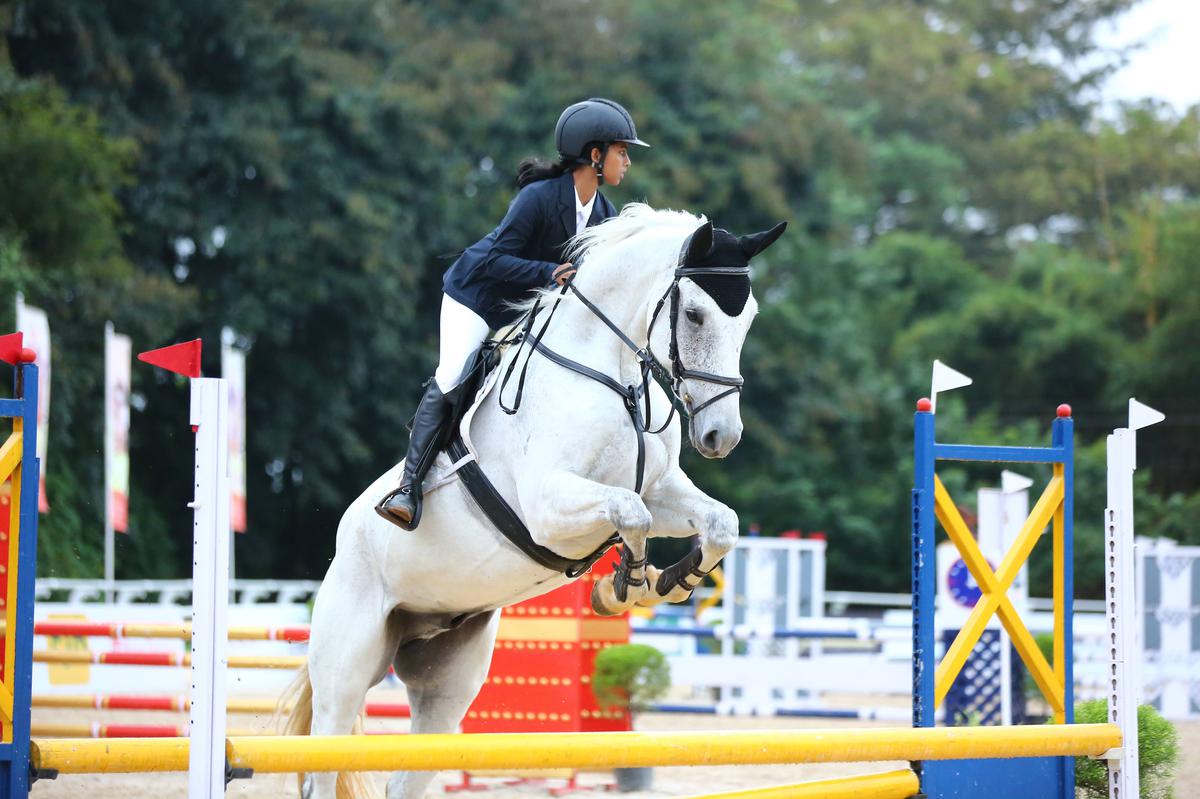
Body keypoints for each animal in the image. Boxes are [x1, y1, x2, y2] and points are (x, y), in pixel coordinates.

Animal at [282, 205, 787, 796]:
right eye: (694, 314)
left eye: (748, 318)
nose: (720, 437)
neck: (615, 375)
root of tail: (340, 551)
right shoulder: (550, 507)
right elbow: (629, 513)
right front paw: (625, 587)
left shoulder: (660, 488)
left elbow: (719, 523)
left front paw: (672, 581)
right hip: (345, 667)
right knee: (326, 750)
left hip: (446, 680)